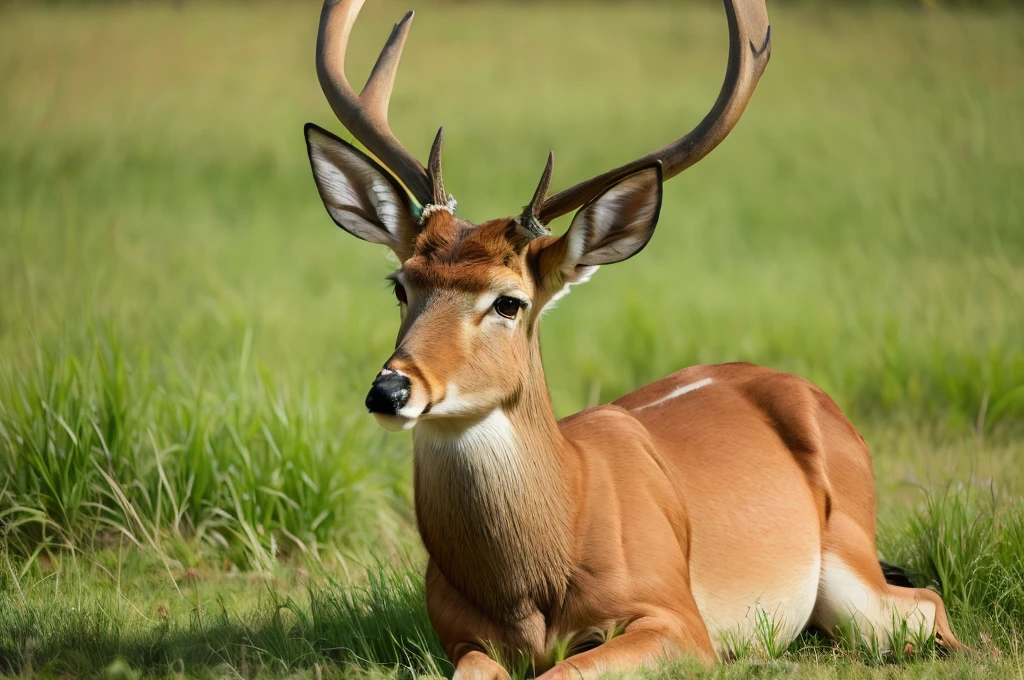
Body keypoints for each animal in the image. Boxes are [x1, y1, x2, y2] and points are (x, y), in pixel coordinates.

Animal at [299, 0, 962, 675]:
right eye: (401, 286)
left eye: (509, 301)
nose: (390, 390)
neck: (538, 576)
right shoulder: (458, 634)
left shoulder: (677, 617)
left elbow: (571, 668)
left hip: (854, 564)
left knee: (925, 602)